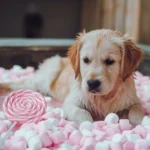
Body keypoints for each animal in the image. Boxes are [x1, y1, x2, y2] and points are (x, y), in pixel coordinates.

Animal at [0, 29, 145, 124]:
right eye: (85, 60)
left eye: (110, 61)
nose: (92, 83)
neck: (103, 98)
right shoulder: (72, 101)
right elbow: (82, 113)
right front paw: (87, 125)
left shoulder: (133, 100)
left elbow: (137, 111)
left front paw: (139, 123)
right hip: (48, 73)